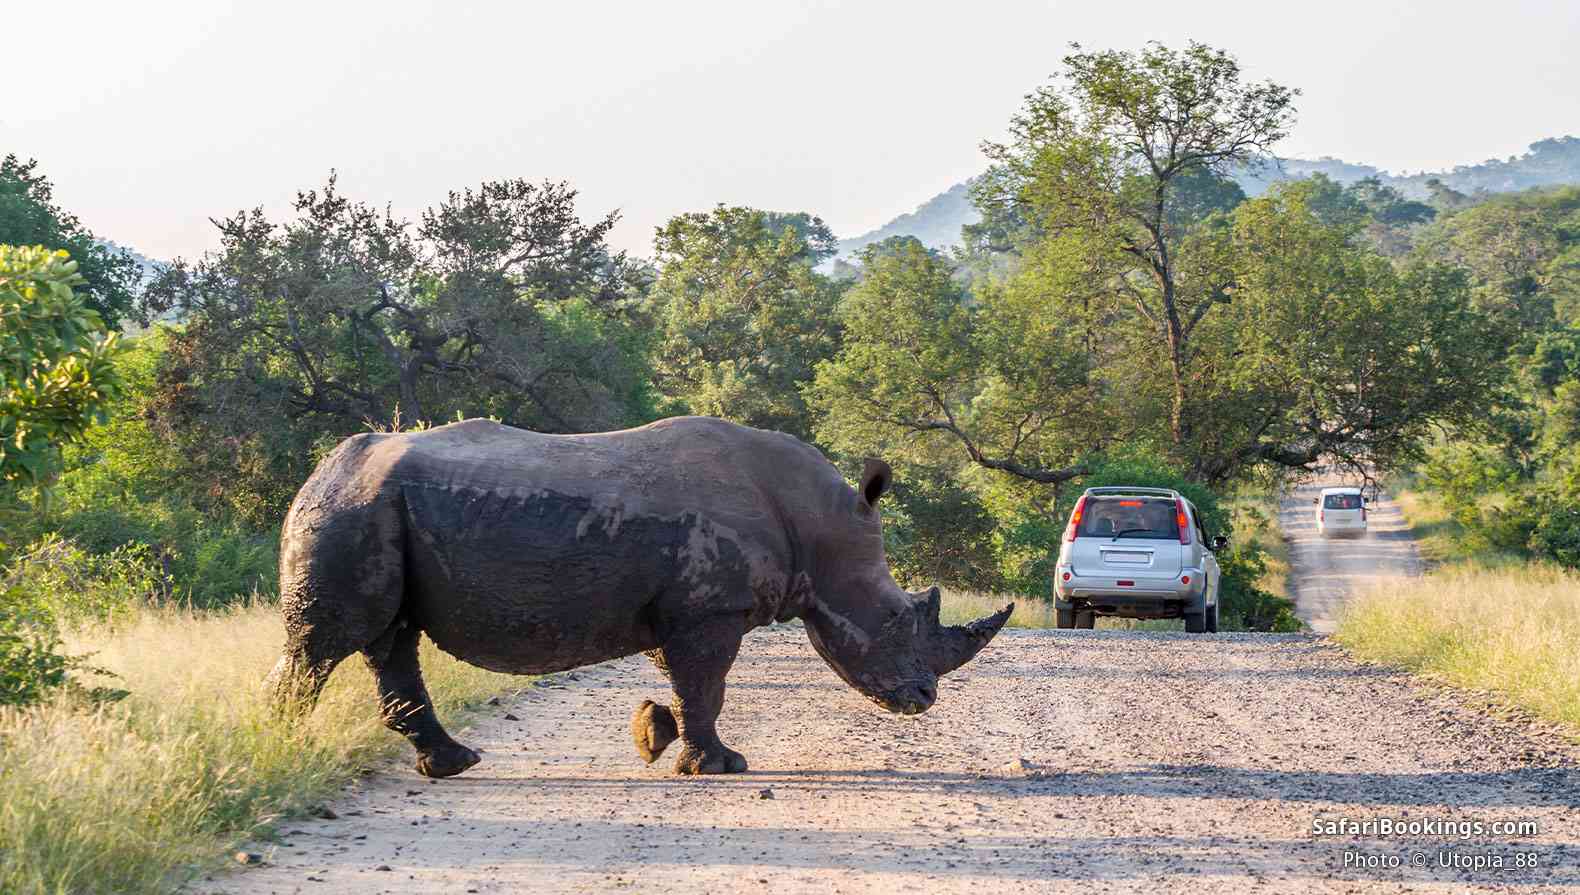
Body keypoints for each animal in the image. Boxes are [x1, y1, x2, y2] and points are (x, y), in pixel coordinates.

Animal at [266, 416, 1012, 777]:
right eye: (895, 618)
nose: (924, 700)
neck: (819, 530)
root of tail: (323, 468)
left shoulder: (681, 609)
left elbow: (685, 684)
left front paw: (653, 734)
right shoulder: (709, 611)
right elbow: (707, 685)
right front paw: (719, 766)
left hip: (374, 510)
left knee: (391, 636)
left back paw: (452, 764)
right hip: (352, 510)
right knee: (325, 644)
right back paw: (287, 743)